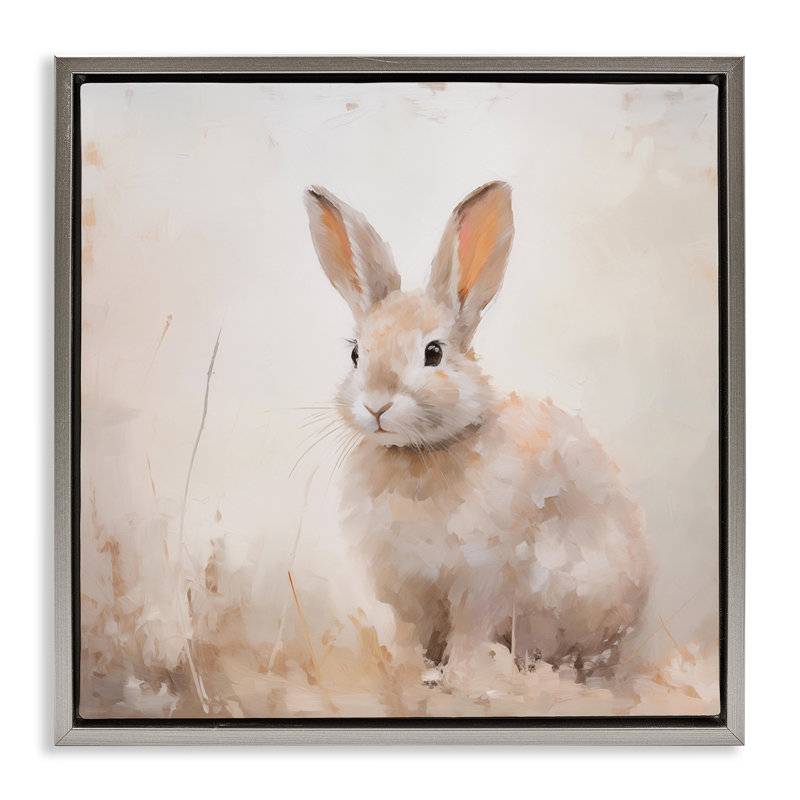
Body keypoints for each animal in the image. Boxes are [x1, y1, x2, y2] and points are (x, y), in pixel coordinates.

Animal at [304, 181, 651, 683]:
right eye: (355, 354)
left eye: (433, 353)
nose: (376, 405)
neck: (419, 453)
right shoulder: (408, 589)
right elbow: (411, 633)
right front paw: (405, 671)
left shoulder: (482, 578)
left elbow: (471, 629)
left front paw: (465, 677)